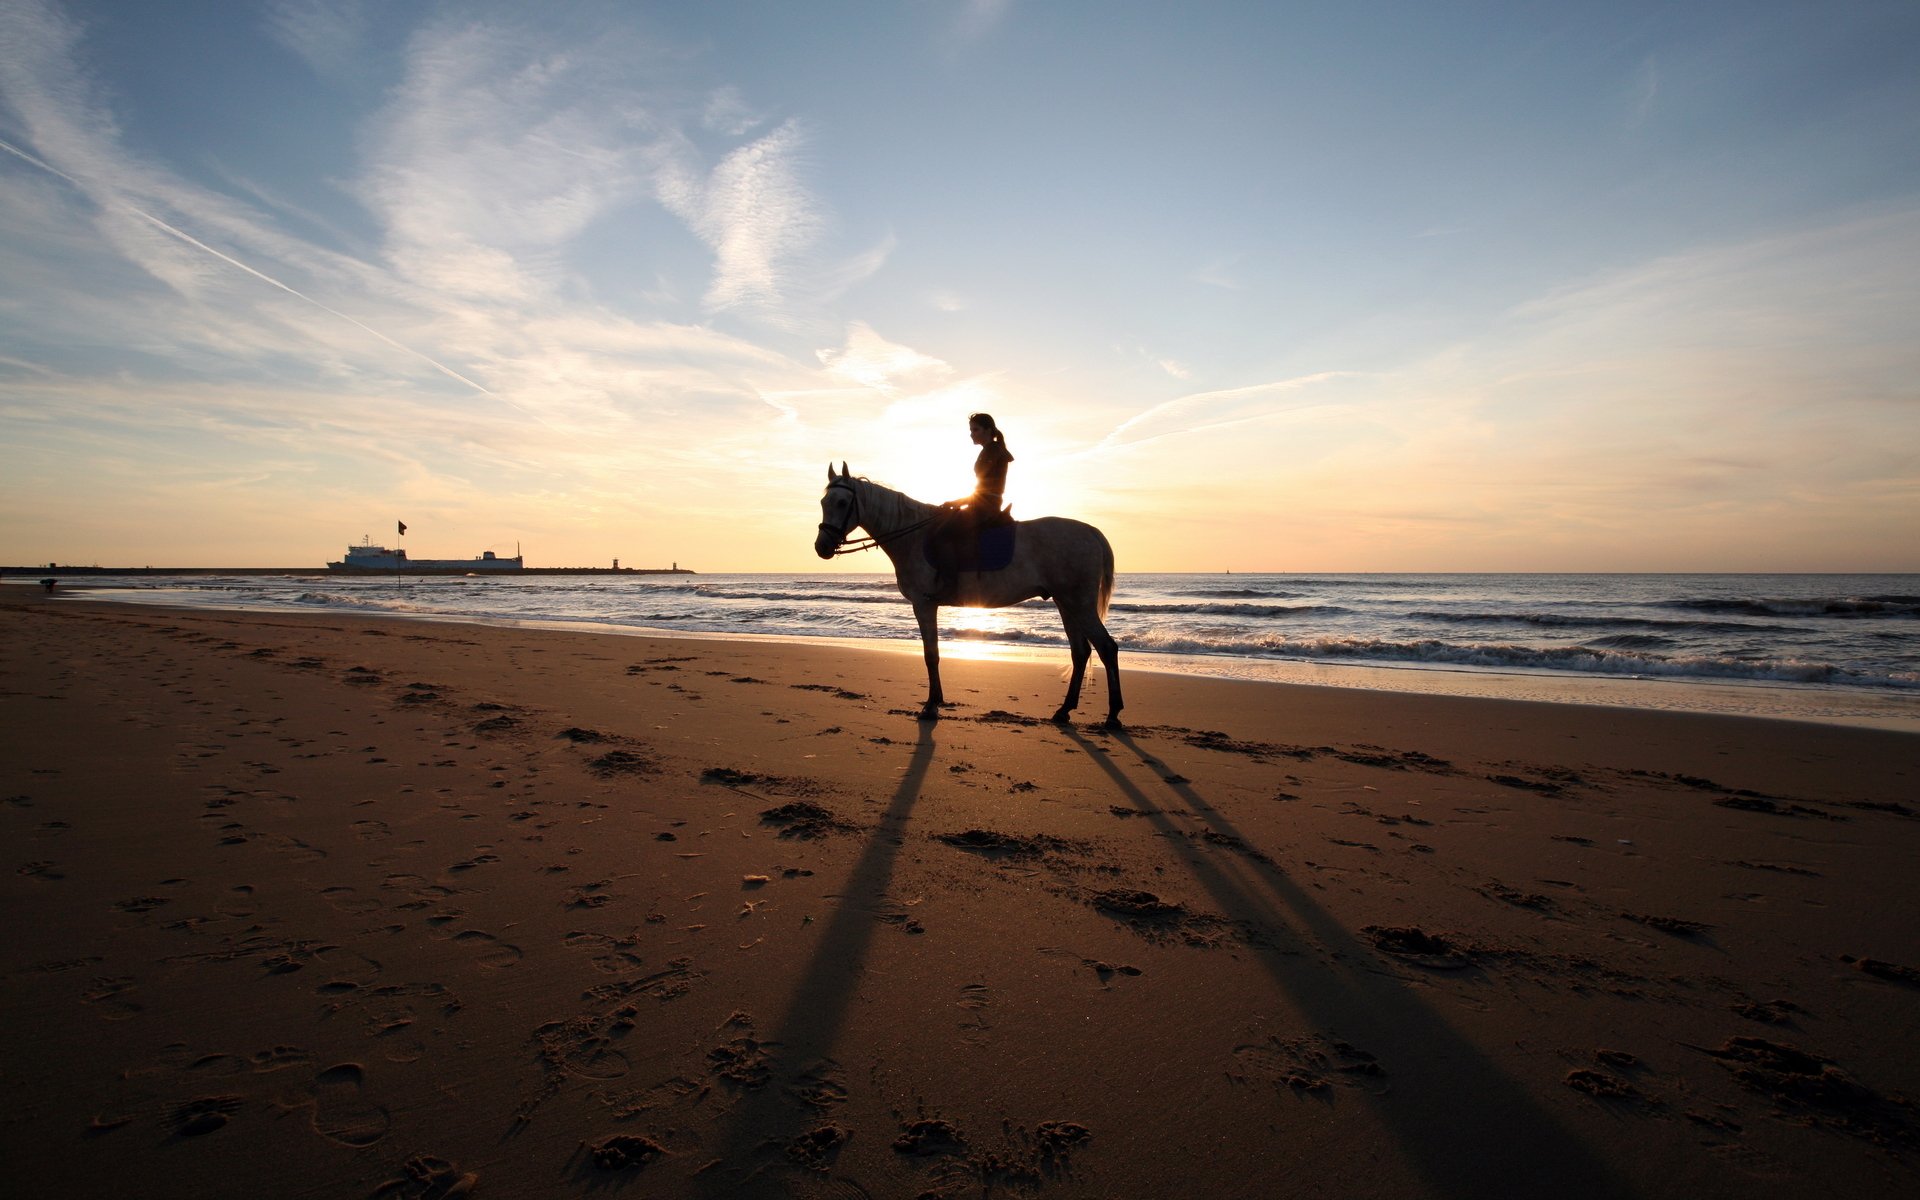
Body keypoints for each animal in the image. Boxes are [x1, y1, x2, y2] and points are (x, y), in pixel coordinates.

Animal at [813, 464, 1123, 727]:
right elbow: (933, 653)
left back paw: (1113, 715)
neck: (913, 536)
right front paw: (936, 700)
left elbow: (931, 655)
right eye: (823, 503)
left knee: (1106, 648)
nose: (822, 547)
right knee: (1080, 652)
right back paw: (1064, 710)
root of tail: (1091, 532)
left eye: (842, 503)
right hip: (1065, 603)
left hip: (1079, 604)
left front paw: (931, 706)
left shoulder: (924, 604)